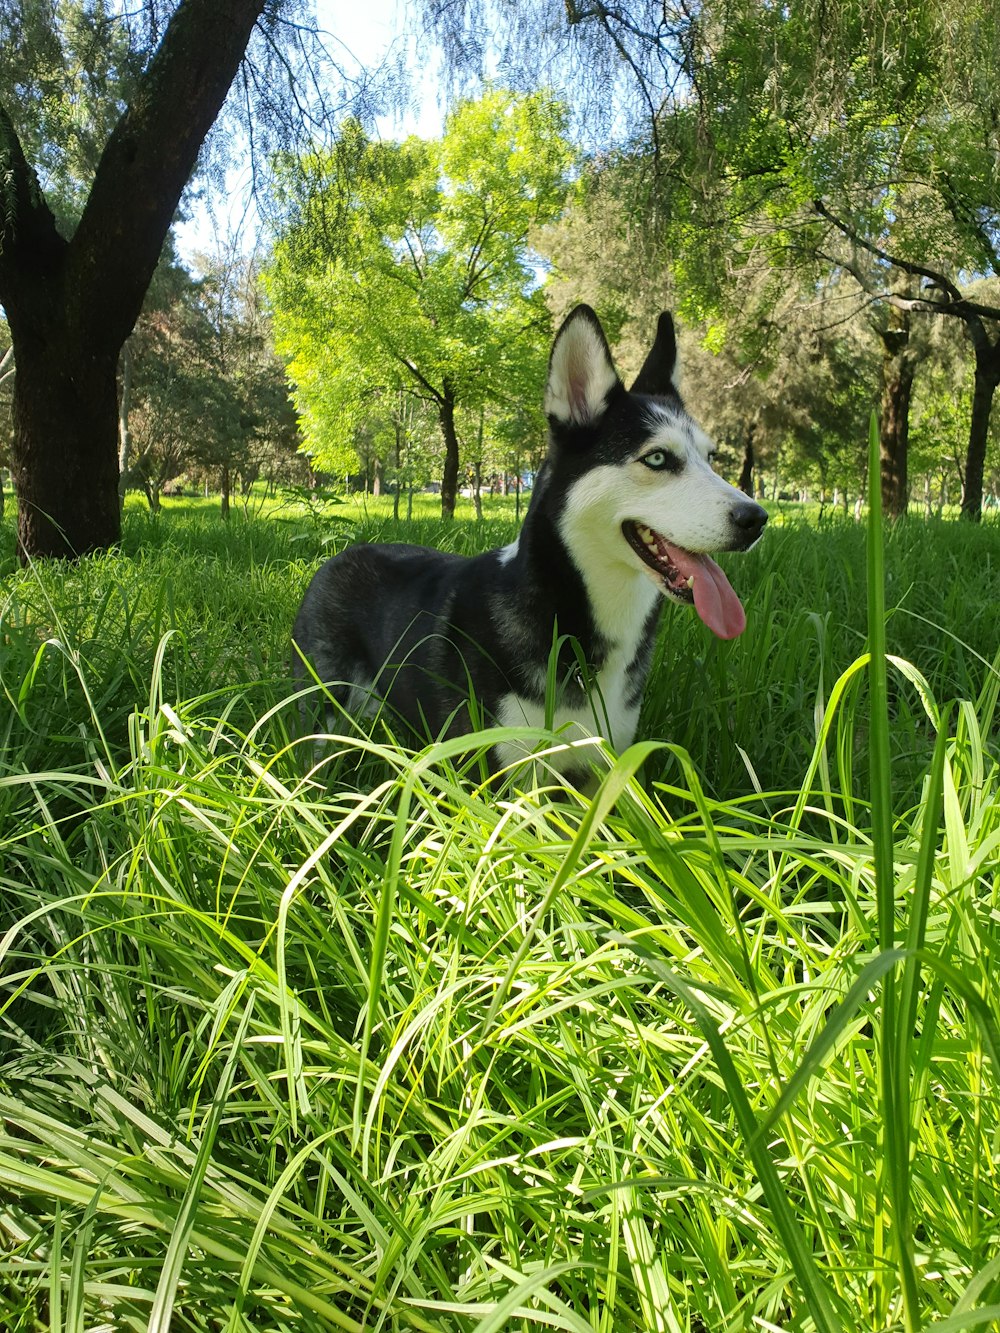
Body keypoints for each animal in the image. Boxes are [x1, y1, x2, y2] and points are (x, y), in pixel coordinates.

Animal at [293, 305, 773, 778]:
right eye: (657, 458)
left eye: (710, 458)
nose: (756, 519)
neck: (571, 611)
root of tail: (345, 551)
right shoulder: (496, 778)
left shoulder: (602, 766)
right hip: (325, 708)